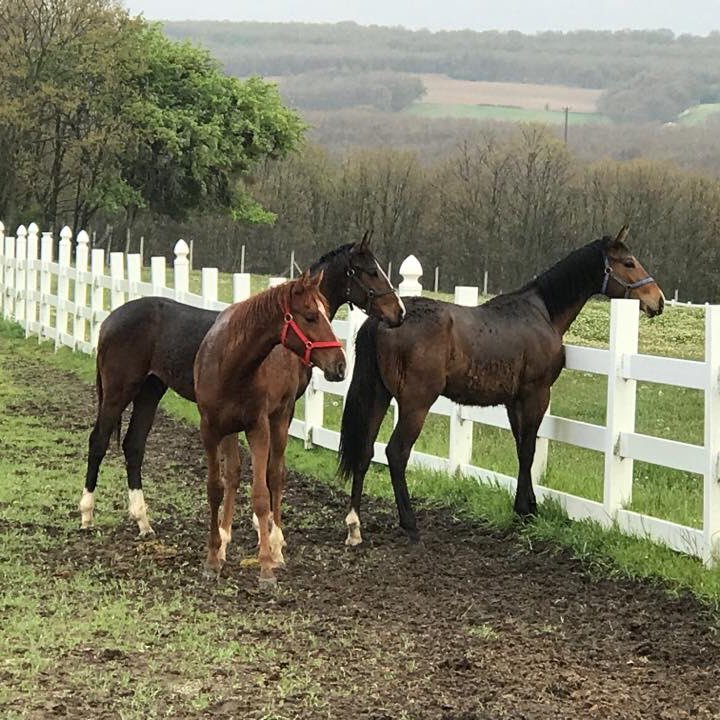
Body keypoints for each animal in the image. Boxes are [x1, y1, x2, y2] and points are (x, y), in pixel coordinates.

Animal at [80, 236, 404, 536]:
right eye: (371, 271)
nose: (399, 312)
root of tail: (109, 319)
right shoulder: (279, 409)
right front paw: (264, 523)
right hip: (119, 391)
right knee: (98, 440)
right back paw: (87, 514)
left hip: (150, 391)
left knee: (134, 445)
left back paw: (142, 521)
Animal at [194, 272, 346, 584]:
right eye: (311, 316)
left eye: (327, 312)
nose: (340, 365)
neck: (229, 365)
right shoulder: (211, 429)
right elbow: (215, 488)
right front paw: (213, 557)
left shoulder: (258, 427)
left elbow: (261, 495)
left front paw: (265, 565)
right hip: (231, 430)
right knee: (234, 474)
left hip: (281, 418)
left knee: (276, 475)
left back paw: (276, 548)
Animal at [340, 228, 668, 544]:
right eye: (629, 263)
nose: (659, 300)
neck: (541, 312)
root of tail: (385, 319)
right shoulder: (537, 394)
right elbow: (529, 449)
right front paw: (527, 509)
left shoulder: (514, 400)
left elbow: (521, 447)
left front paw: (525, 505)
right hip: (415, 404)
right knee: (396, 454)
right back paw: (410, 525)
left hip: (379, 396)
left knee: (365, 450)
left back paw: (355, 526)